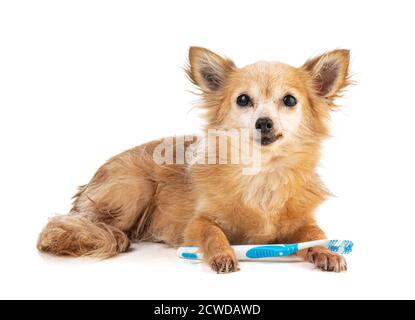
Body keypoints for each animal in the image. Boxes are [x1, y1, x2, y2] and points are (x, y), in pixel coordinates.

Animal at [38, 47, 352, 272]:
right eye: (243, 100)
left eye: (289, 101)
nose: (263, 122)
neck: (261, 172)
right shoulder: (196, 224)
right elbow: (213, 232)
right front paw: (222, 254)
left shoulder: (302, 221)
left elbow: (316, 233)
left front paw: (326, 251)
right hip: (135, 187)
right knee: (75, 225)